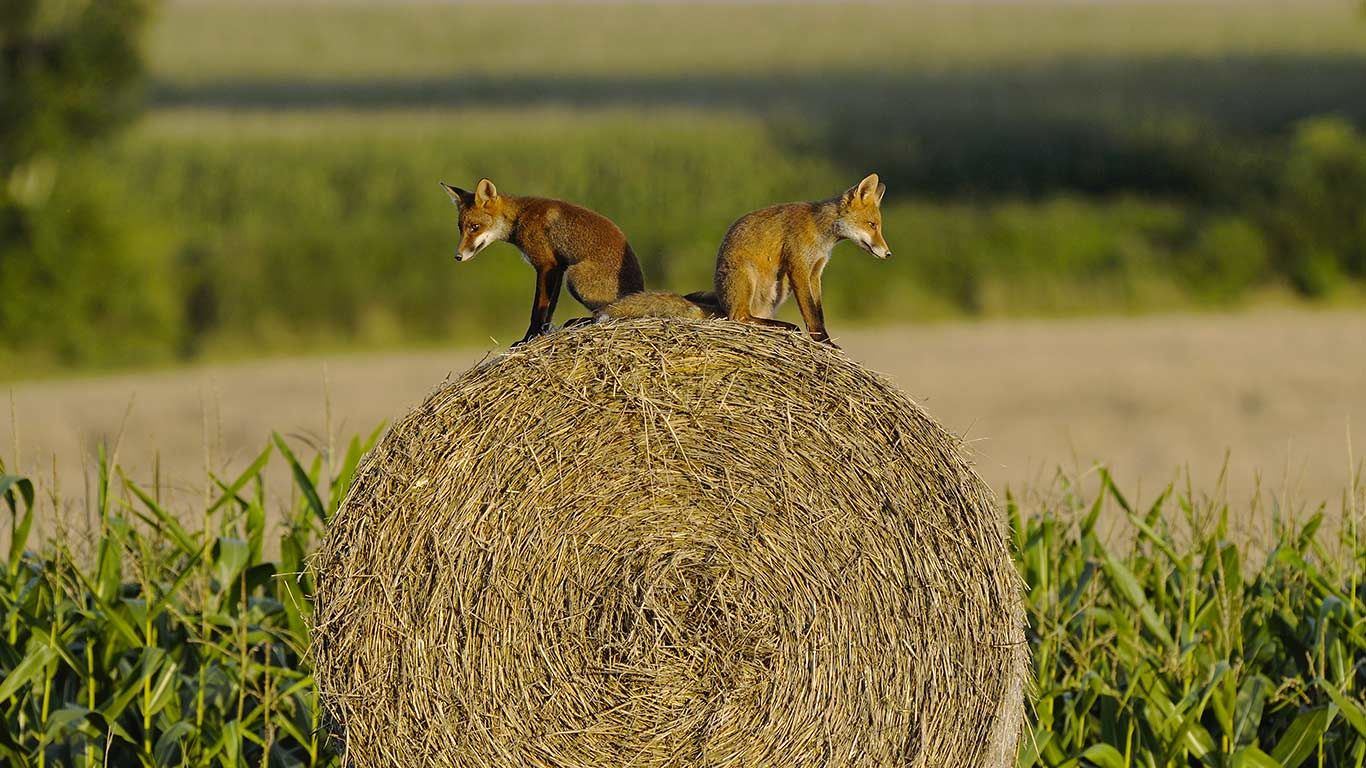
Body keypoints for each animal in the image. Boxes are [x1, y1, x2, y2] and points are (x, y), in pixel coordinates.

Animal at [440, 178, 645, 345]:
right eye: (461, 228)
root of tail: (639, 289)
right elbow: (550, 309)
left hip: (575, 278)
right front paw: (543, 332)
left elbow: (538, 309)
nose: (457, 256)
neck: (520, 217)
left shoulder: (546, 265)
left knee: (608, 312)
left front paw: (527, 339)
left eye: (475, 227)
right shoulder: (559, 268)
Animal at [713, 173, 892, 348]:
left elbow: (819, 312)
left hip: (779, 289)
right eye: (872, 225)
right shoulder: (798, 267)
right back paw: (786, 326)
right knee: (739, 316)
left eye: (877, 226)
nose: (888, 254)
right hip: (749, 277)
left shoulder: (815, 271)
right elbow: (810, 310)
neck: (820, 233)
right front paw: (823, 341)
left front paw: (825, 340)